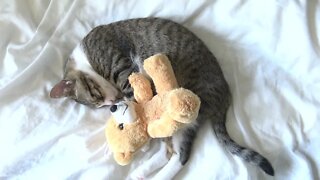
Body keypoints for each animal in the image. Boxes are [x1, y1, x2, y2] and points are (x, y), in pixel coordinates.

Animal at [50, 17, 276, 179]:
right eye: (100, 106)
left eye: (96, 95)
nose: (112, 103)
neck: (86, 58)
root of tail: (225, 96)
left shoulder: (122, 69)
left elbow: (134, 95)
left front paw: (136, 125)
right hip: (189, 118)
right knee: (175, 153)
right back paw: (141, 172)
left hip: (188, 104)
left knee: (175, 151)